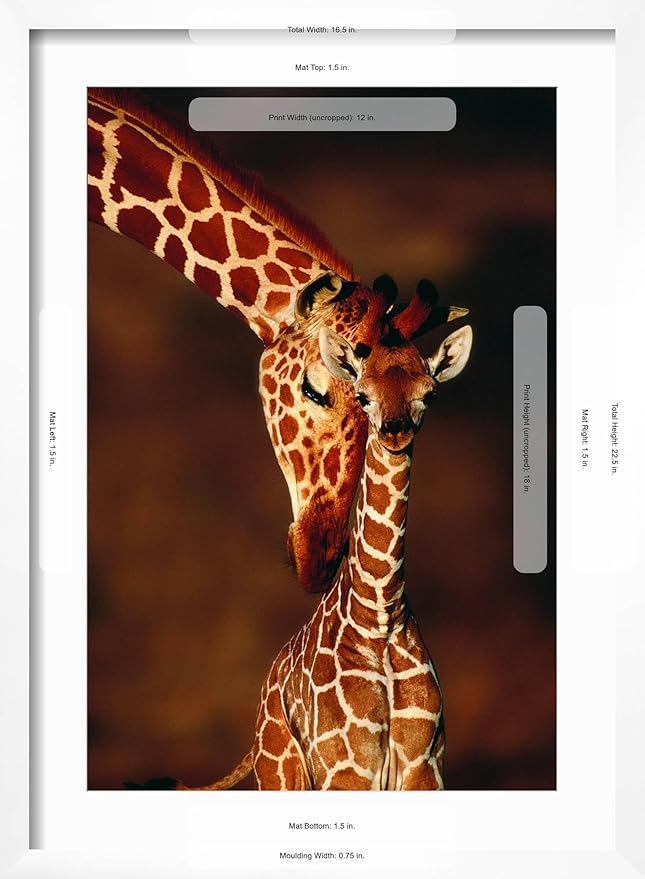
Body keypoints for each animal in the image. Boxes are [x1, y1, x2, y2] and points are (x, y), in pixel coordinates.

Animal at [170, 317, 472, 791]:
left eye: (430, 393)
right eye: (363, 394)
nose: (395, 429)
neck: (380, 615)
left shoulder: (425, 767)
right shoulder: (346, 768)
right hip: (282, 772)